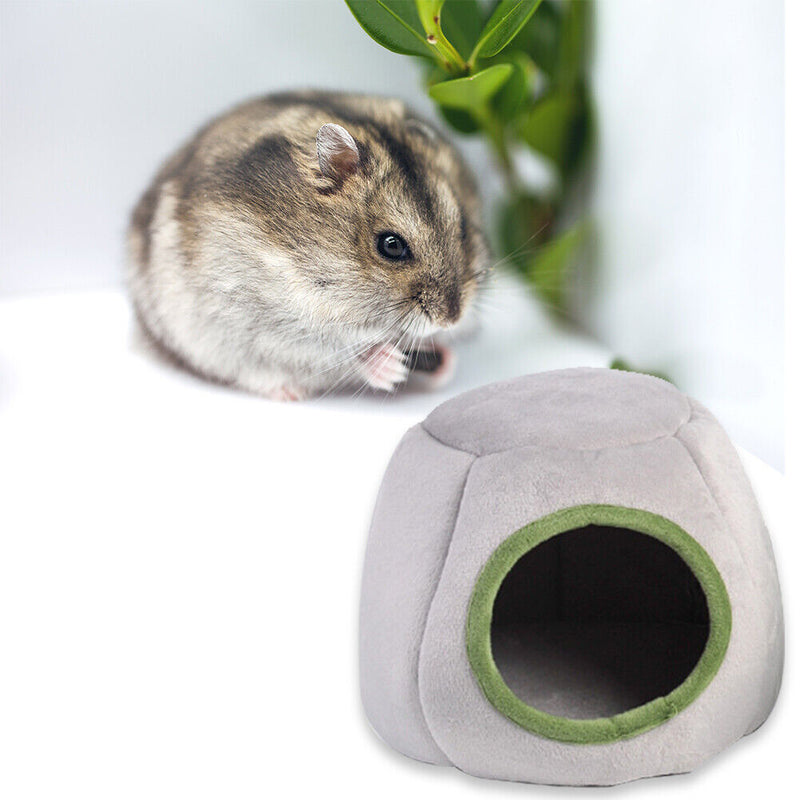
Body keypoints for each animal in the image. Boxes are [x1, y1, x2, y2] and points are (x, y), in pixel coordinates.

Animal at [127, 90, 489, 400]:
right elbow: (342, 350)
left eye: (462, 228)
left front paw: (444, 360)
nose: (451, 319)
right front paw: (394, 366)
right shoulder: (274, 321)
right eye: (391, 245)